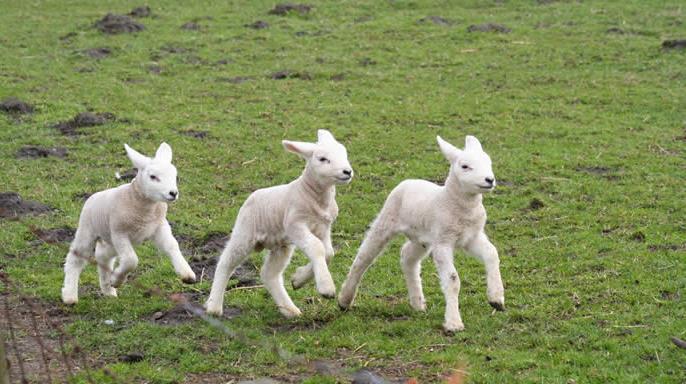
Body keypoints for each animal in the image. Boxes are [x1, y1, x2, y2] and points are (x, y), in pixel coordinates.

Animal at [60, 141, 198, 304]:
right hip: (88, 230)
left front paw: (187, 274)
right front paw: (117, 280)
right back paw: (70, 295)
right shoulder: (120, 232)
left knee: (103, 257)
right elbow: (132, 260)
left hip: (110, 240)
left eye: (175, 176)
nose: (173, 193)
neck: (146, 210)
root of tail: (93, 197)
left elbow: (172, 246)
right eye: (153, 177)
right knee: (76, 258)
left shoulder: (159, 227)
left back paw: (108, 290)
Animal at [204, 130, 354, 316]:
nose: (347, 171)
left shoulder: (323, 228)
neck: (313, 195)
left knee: (269, 274)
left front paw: (298, 279)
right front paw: (326, 288)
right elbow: (316, 248)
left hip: (281, 245)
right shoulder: (295, 224)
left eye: (344, 154)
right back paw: (214, 307)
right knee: (226, 262)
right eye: (322, 159)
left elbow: (328, 253)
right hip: (245, 233)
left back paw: (290, 310)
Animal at [338, 136, 506, 332]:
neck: (457, 205)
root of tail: (410, 180)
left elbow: (492, 254)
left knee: (407, 256)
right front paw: (453, 323)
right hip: (387, 219)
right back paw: (344, 300)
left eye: (488, 162)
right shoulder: (443, 242)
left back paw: (417, 302)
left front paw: (496, 299)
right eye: (465, 166)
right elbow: (452, 279)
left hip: (422, 238)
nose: (489, 180)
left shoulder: (471, 236)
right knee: (364, 256)